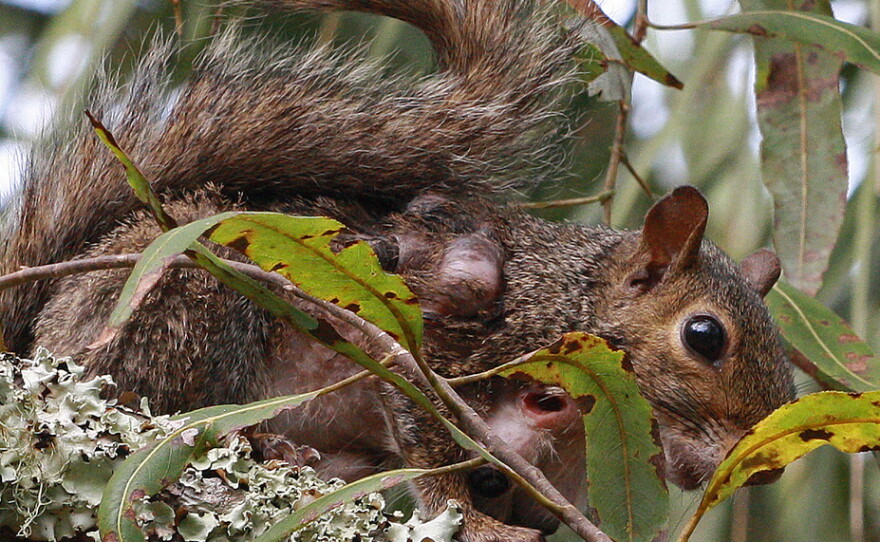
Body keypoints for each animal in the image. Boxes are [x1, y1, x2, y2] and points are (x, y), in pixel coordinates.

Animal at [0, 1, 796, 541]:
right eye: (704, 336)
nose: (767, 465)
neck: (577, 304)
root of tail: (44, 353)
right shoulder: (460, 343)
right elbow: (433, 440)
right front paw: (479, 525)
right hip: (189, 297)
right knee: (157, 403)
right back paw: (250, 441)